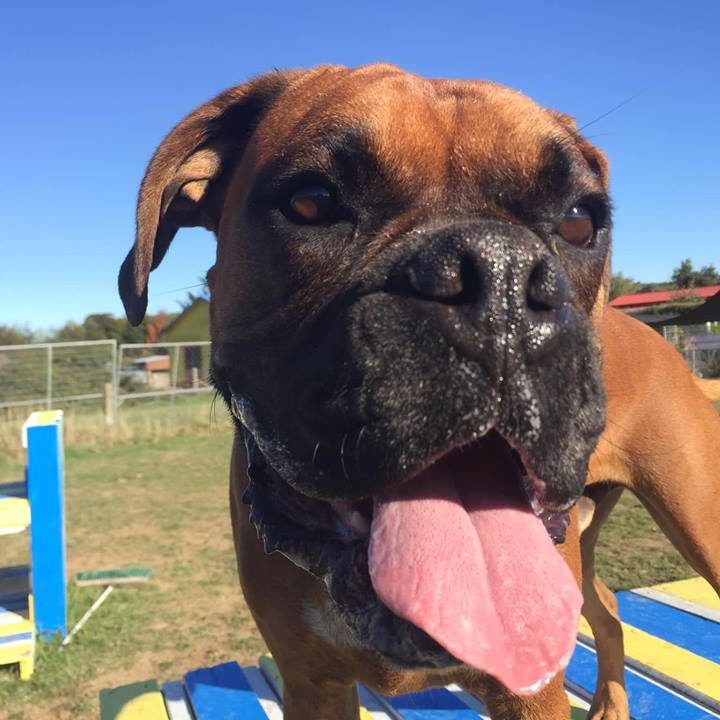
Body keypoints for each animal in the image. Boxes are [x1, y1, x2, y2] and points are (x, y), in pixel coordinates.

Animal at [119, 64, 720, 716]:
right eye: (312, 201)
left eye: (580, 219)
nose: (500, 277)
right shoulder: (311, 684)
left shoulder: (530, 691)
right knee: (605, 608)